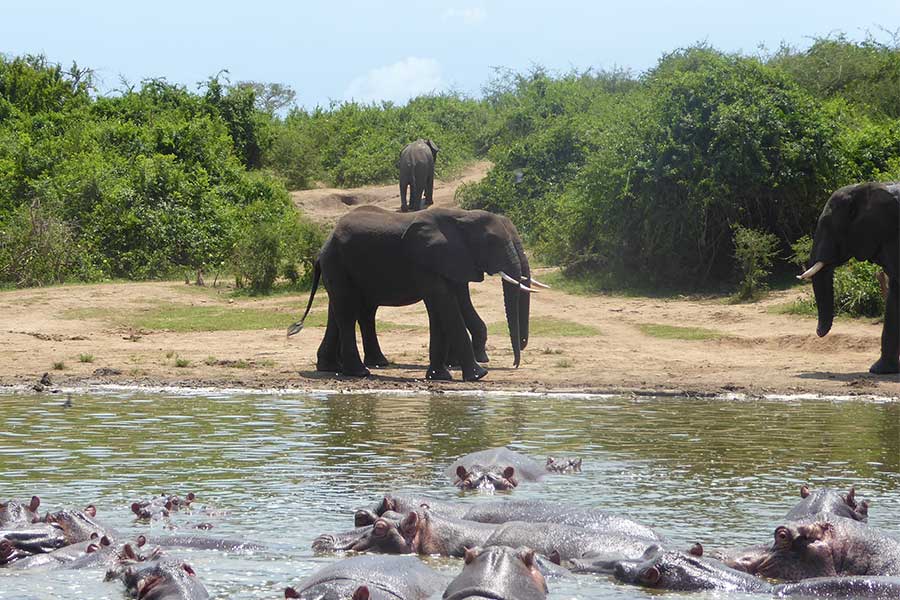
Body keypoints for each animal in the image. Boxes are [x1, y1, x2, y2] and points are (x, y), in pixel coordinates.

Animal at [288, 202, 544, 380]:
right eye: (492, 242)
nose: (515, 364)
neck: (461, 216)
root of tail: (323, 246)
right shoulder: (427, 259)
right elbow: (444, 302)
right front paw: (478, 374)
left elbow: (440, 308)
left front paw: (441, 375)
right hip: (338, 264)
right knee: (347, 311)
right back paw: (360, 372)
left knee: (346, 310)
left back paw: (341, 366)